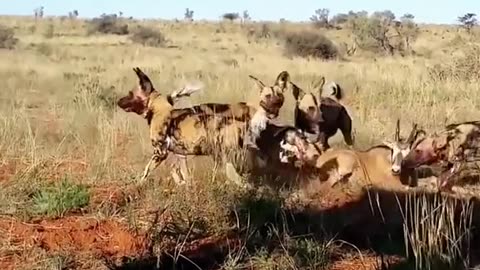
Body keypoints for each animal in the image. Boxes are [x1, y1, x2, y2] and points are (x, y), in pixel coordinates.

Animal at [116, 67, 288, 186]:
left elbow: (145, 172)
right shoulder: (180, 154)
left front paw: (137, 186)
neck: (158, 108)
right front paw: (184, 186)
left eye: (130, 94)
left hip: (225, 157)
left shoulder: (160, 153)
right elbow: (180, 175)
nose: (118, 101)